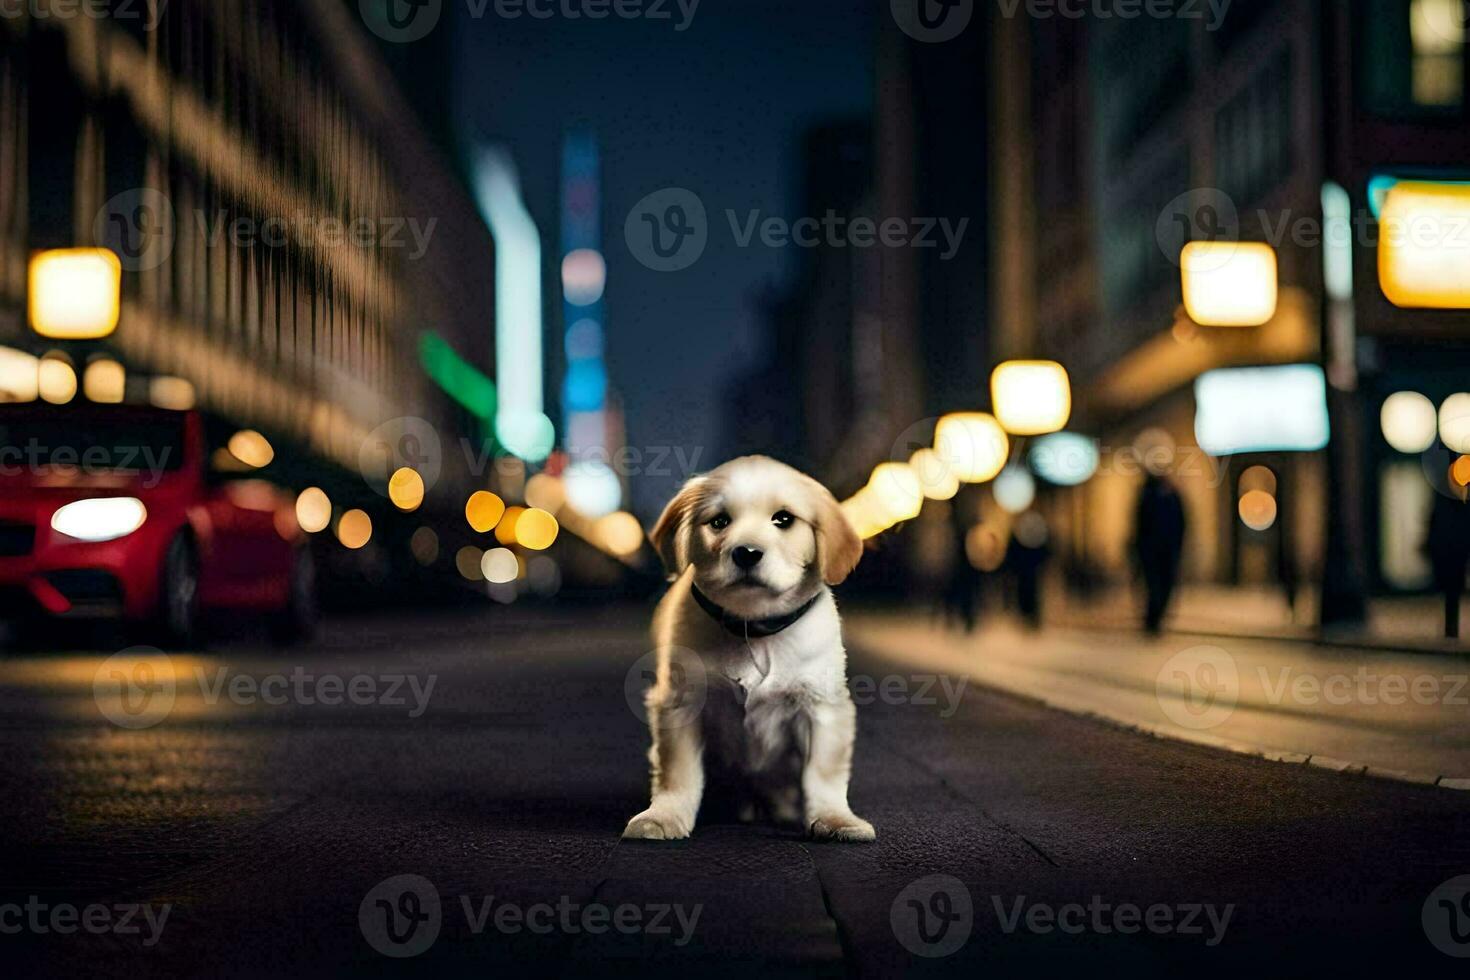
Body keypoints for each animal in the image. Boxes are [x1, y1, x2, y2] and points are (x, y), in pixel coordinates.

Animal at [620, 455, 870, 840]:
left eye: (783, 519)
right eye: (719, 522)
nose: (747, 553)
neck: (754, 630)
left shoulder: (823, 706)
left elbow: (823, 774)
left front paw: (835, 819)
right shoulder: (680, 703)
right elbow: (678, 772)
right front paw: (664, 815)